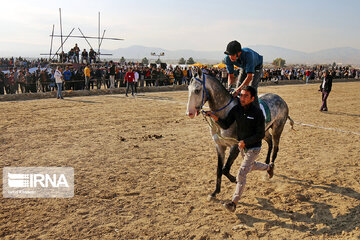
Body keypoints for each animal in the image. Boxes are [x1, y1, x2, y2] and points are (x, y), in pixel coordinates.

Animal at [187, 69, 294, 199]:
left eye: (197, 90)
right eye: (188, 88)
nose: (190, 113)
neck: (225, 115)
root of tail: (281, 100)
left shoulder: (235, 146)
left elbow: (225, 169)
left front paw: (234, 179)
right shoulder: (219, 146)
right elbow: (219, 169)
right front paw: (215, 192)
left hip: (277, 128)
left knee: (275, 148)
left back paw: (269, 170)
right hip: (264, 132)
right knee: (269, 143)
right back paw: (266, 163)